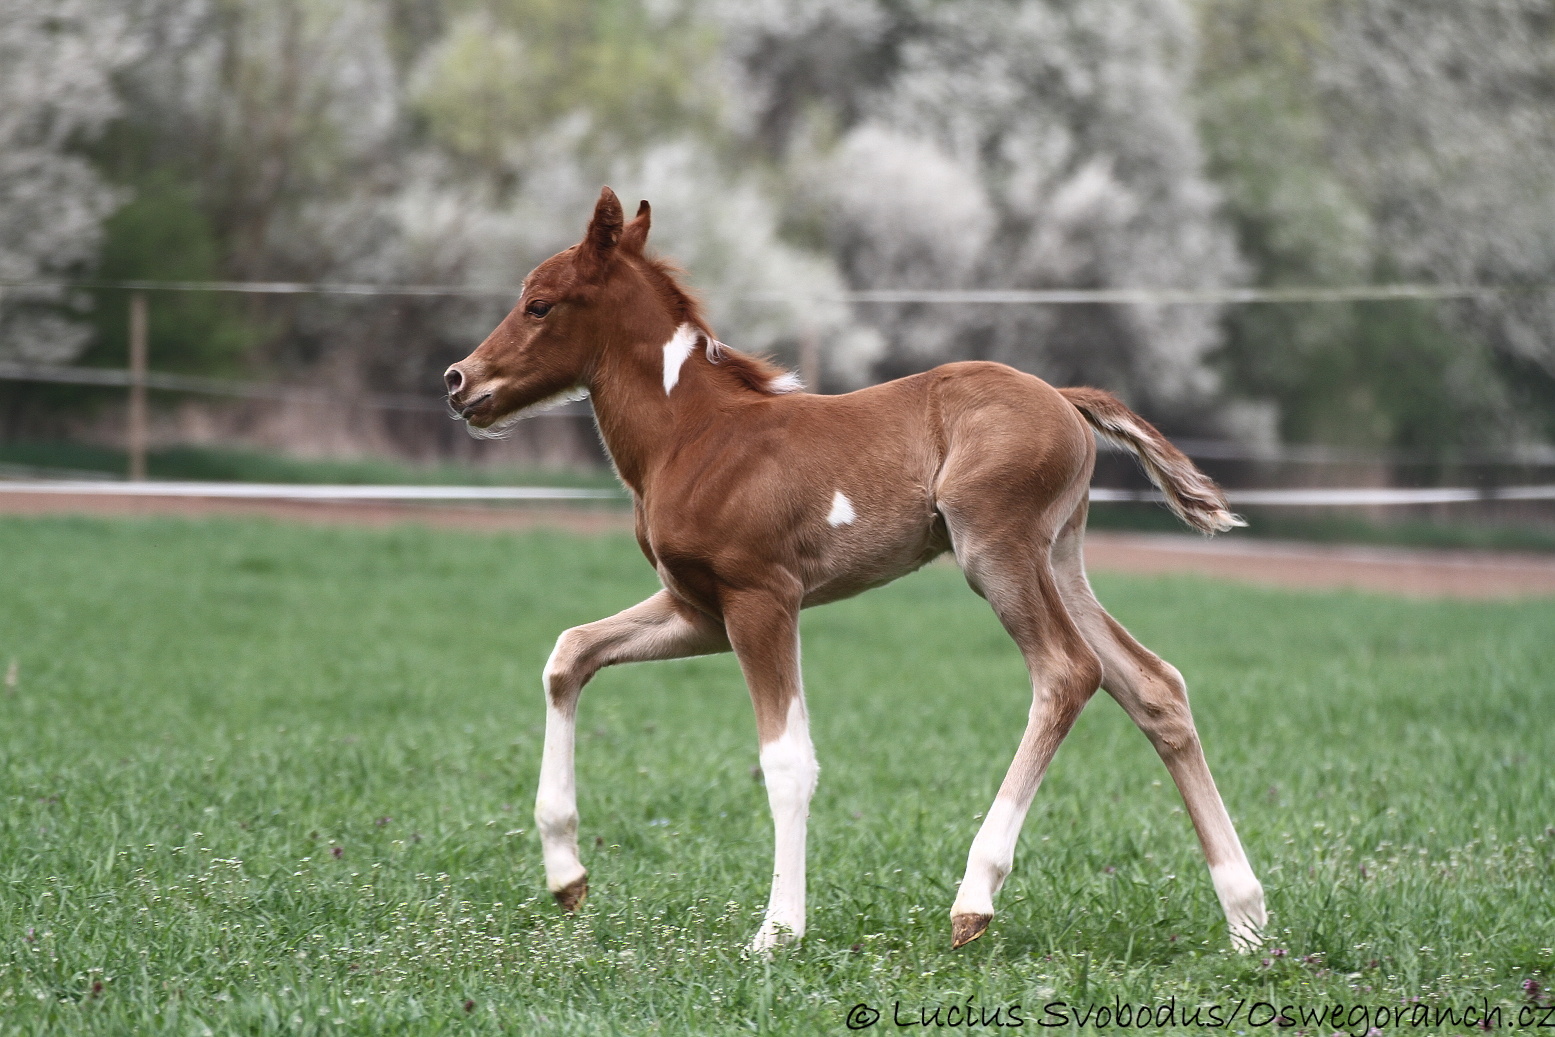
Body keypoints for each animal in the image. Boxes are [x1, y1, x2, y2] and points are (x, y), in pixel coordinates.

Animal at [444, 188, 1268, 957]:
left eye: (539, 303)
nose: (458, 380)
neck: (695, 435)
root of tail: (1064, 399)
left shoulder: (761, 598)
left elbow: (785, 758)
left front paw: (778, 928)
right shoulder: (698, 609)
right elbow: (569, 653)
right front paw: (567, 876)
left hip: (994, 550)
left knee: (1068, 671)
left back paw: (974, 897)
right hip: (1058, 558)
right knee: (1152, 684)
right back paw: (1247, 919)